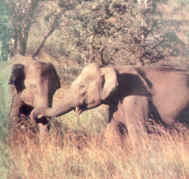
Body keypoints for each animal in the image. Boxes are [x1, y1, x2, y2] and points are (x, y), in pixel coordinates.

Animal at [29, 63, 189, 147]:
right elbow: (112, 130)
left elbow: (137, 132)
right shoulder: (116, 103)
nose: (37, 117)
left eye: (82, 87)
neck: (115, 68)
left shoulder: (135, 98)